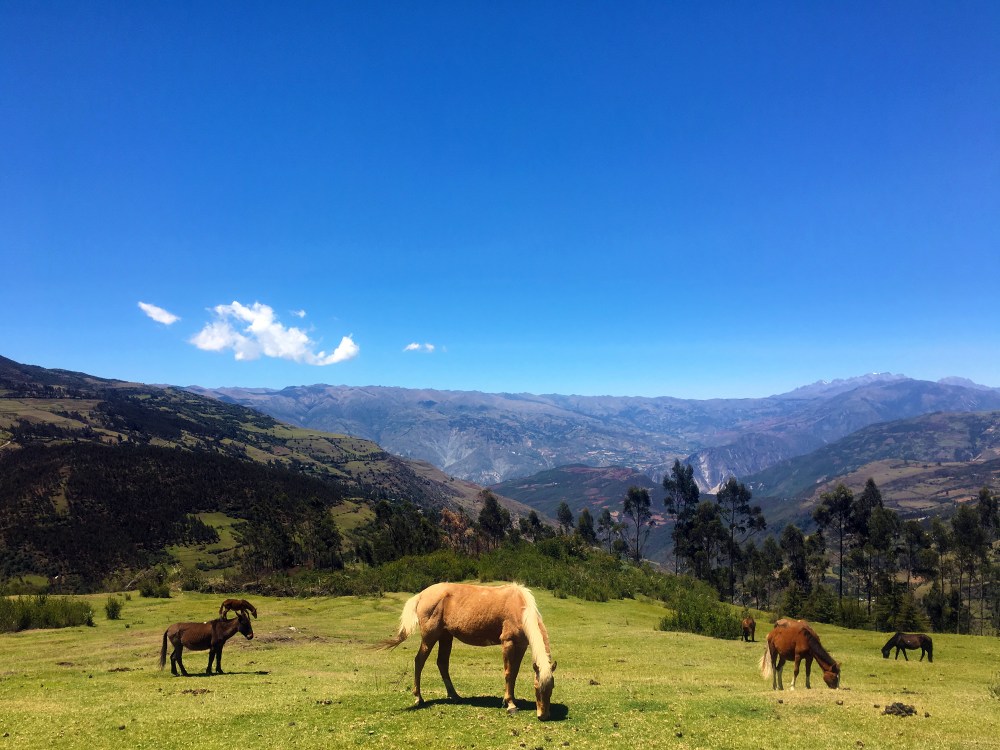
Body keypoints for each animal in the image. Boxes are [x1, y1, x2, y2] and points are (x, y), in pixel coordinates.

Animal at [377, 582, 557, 720]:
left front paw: (511, 701)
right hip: (430, 637)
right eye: (536, 687)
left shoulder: (521, 645)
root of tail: (421, 595)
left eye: (552, 688)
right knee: (419, 661)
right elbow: (508, 673)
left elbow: (514, 674)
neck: (520, 607)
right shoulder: (508, 643)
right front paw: (510, 705)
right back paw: (419, 698)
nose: (543, 716)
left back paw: (455, 696)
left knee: (442, 663)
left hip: (445, 636)